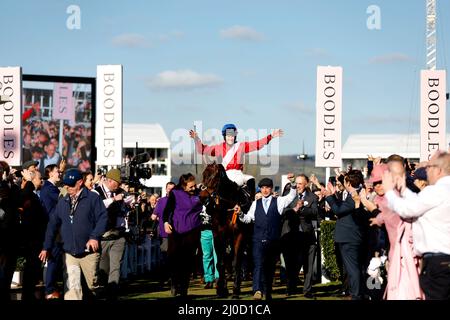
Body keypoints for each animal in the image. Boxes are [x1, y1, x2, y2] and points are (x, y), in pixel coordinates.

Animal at [200, 162, 255, 298]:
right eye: (204, 175)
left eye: (214, 176)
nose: (202, 197)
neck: (227, 208)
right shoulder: (218, 236)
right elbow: (221, 262)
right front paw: (221, 289)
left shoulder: (239, 236)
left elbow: (236, 262)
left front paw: (235, 290)